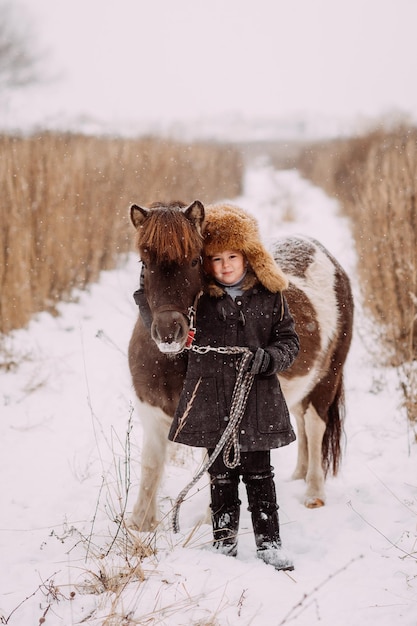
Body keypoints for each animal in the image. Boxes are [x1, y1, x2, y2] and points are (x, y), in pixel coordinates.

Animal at [126, 199, 352, 528]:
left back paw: (313, 493)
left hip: (327, 379)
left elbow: (216, 470)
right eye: (144, 262)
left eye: (195, 260)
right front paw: (140, 525)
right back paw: (298, 475)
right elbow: (151, 467)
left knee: (314, 425)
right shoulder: (152, 415)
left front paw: (209, 523)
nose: (169, 332)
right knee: (301, 420)